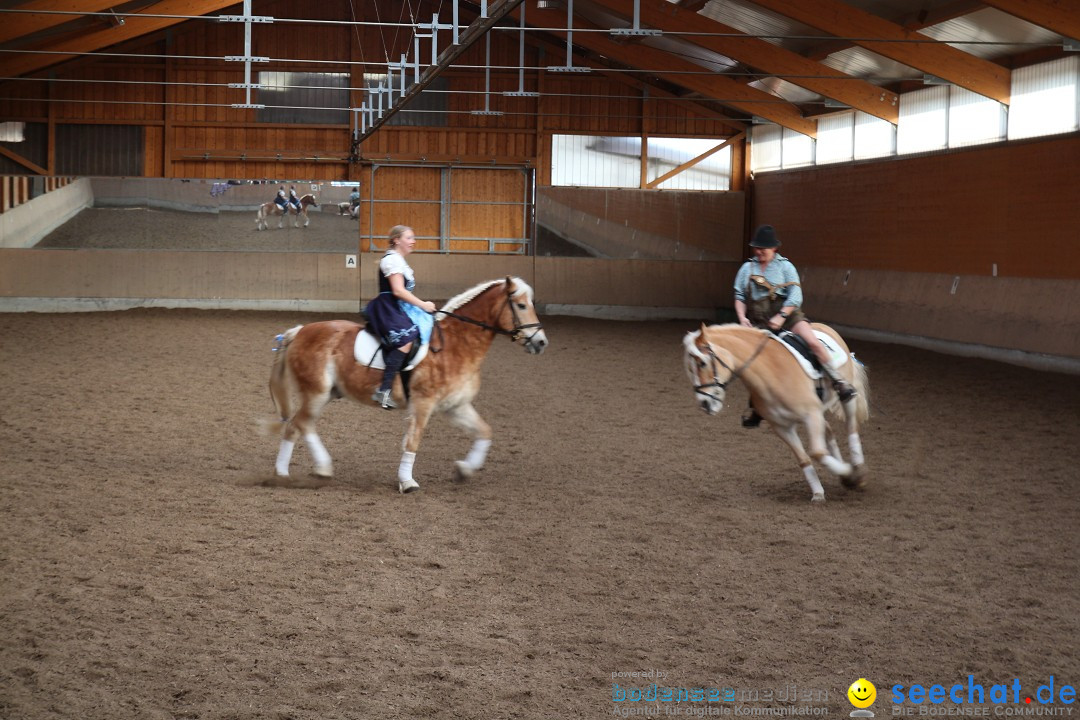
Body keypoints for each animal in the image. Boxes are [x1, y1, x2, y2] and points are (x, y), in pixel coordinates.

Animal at [262, 278, 548, 496]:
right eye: (521, 305)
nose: (541, 342)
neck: (457, 344)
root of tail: (299, 331)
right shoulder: (423, 403)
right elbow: (413, 441)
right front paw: (407, 482)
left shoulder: (456, 406)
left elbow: (484, 432)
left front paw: (464, 470)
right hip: (316, 392)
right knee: (298, 424)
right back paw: (291, 473)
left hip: (327, 393)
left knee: (301, 425)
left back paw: (308, 471)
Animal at [686, 323, 872, 505]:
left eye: (702, 363)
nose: (704, 403)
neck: (772, 374)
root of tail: (826, 327)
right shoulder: (782, 427)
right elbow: (805, 459)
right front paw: (819, 492)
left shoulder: (811, 415)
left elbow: (817, 452)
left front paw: (850, 474)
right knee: (829, 432)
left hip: (845, 399)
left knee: (851, 427)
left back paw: (856, 469)